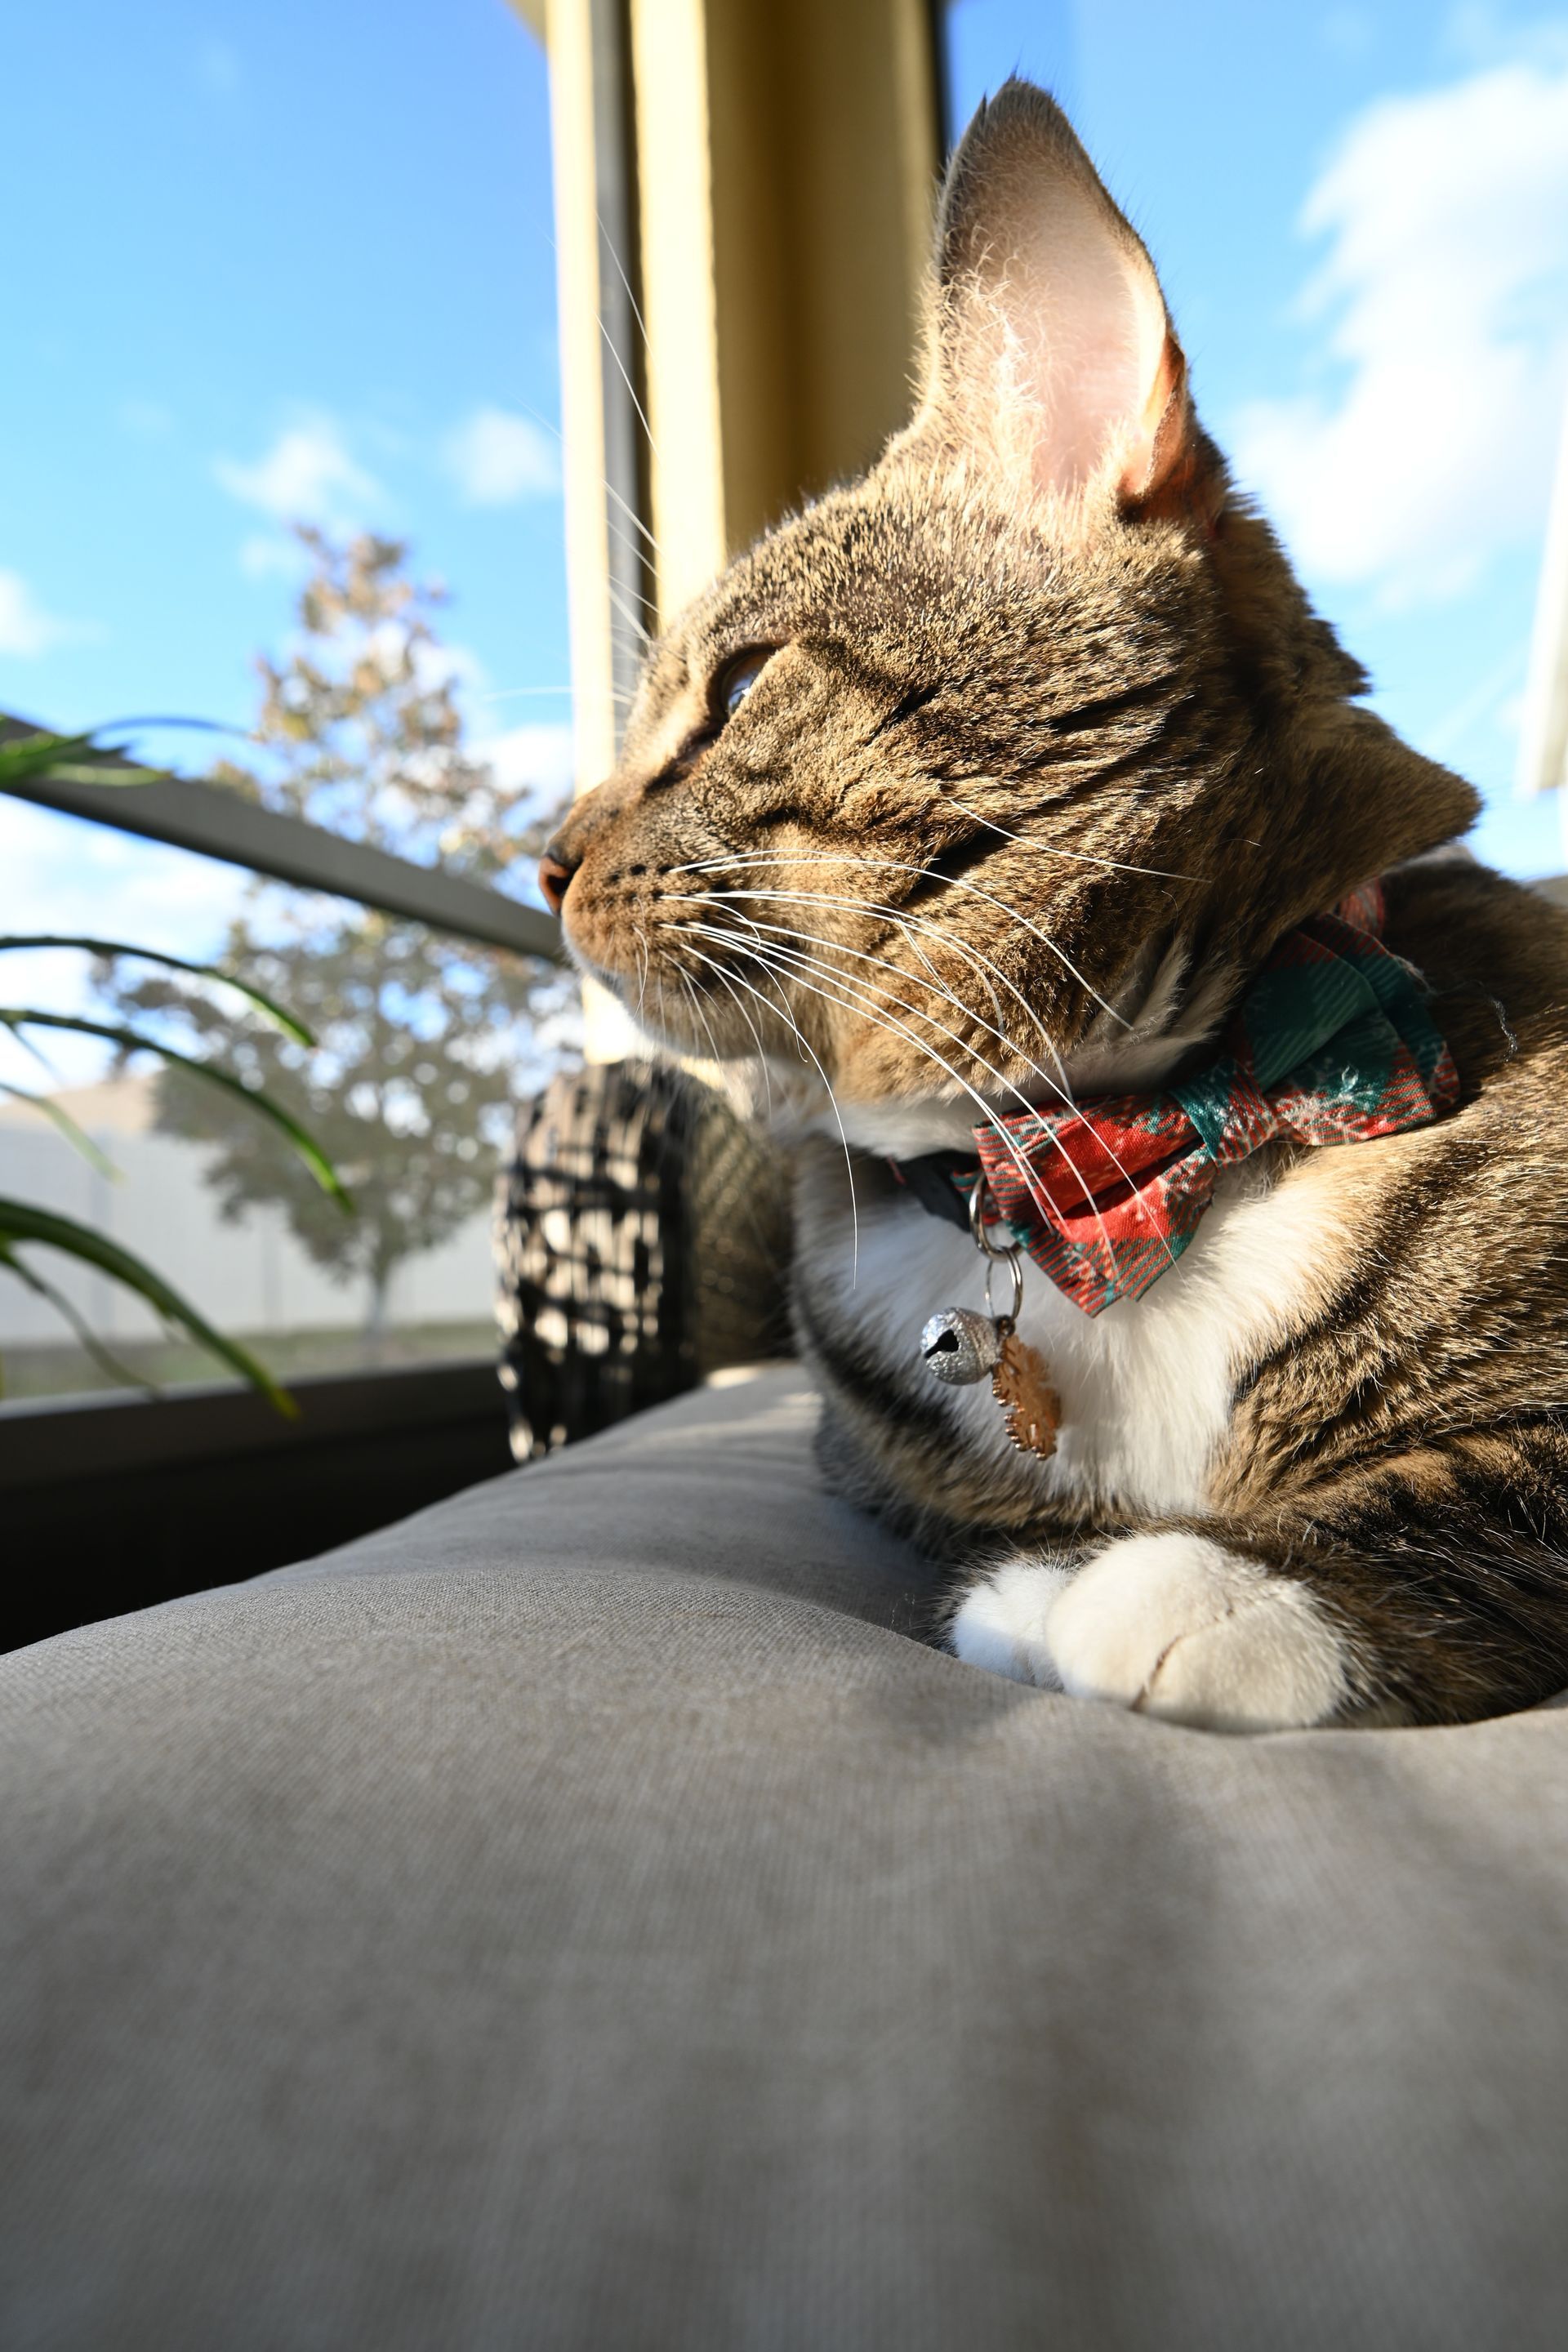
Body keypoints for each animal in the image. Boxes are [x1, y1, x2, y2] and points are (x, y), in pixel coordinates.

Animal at [541, 78, 1568, 1731]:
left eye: (744, 688)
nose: (544, 856)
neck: (1112, 1144)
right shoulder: (872, 1457)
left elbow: (1488, 1481)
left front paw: (1202, 1587)